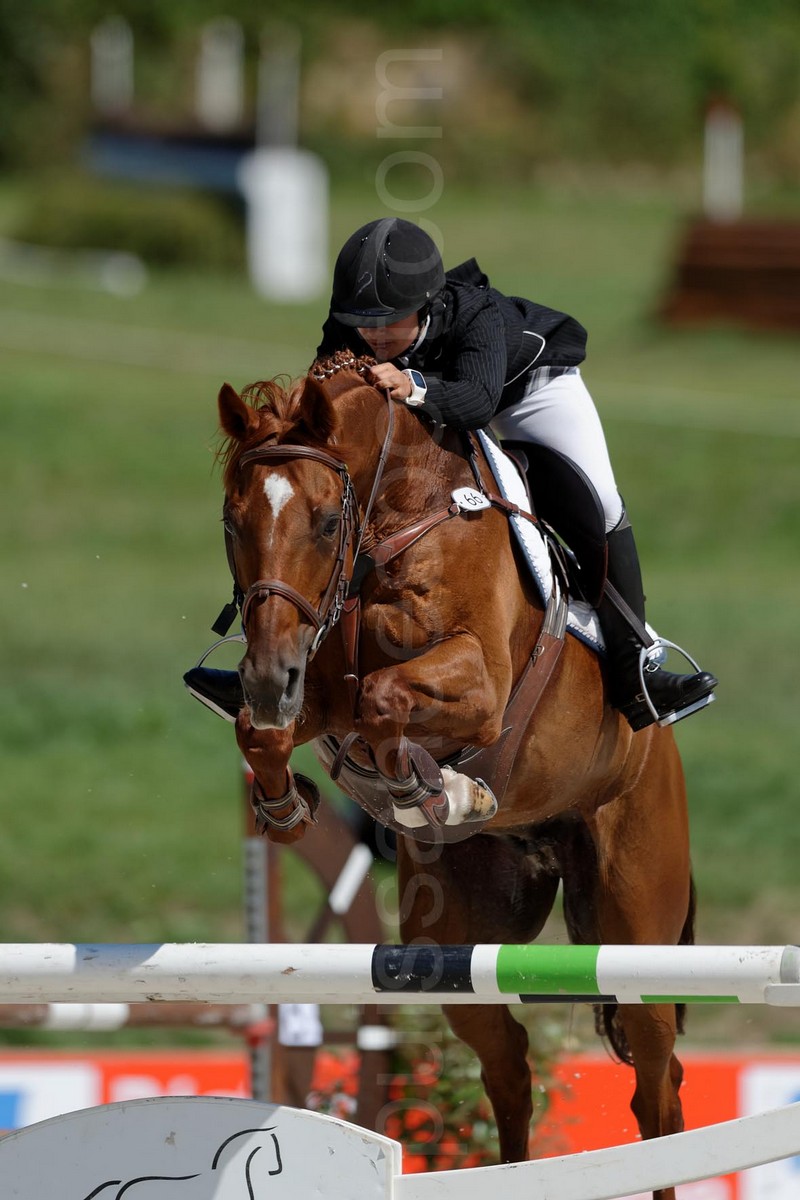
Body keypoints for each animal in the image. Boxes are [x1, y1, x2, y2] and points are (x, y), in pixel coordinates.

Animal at [211, 352, 694, 1200]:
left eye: (325, 521)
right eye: (233, 524)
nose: (269, 678)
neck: (392, 516)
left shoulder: (481, 684)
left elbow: (385, 695)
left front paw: (424, 786)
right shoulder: (314, 680)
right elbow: (274, 729)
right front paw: (291, 805)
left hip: (636, 927)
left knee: (656, 1088)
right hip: (455, 944)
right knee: (509, 1066)